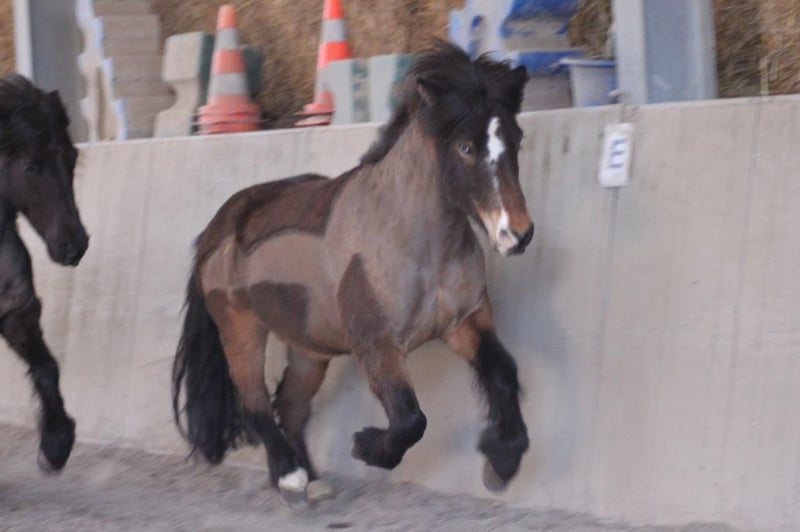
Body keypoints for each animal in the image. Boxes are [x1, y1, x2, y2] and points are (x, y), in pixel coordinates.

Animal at [172, 41, 533, 507]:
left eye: (516, 139)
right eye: (466, 148)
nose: (517, 234)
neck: (413, 240)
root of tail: (217, 228)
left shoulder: (464, 322)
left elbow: (503, 373)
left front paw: (502, 460)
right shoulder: (376, 345)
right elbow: (411, 420)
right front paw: (366, 446)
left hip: (309, 347)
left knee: (290, 405)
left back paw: (313, 479)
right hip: (240, 329)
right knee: (255, 402)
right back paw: (289, 476)